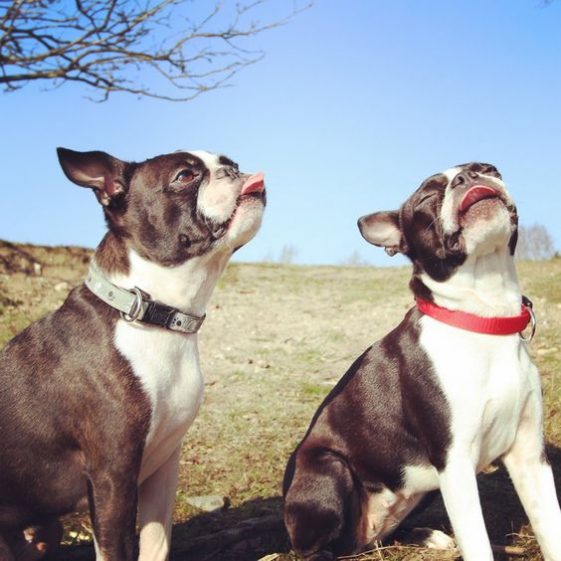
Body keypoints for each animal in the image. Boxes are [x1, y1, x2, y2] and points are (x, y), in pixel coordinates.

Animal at [0, 148, 266, 560]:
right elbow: (117, 547)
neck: (156, 317)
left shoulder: (163, 467)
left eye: (230, 161)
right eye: (185, 175)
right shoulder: (113, 475)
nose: (234, 170)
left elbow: (156, 544)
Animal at [284, 162, 560, 560]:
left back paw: (428, 536)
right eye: (428, 197)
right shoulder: (455, 462)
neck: (483, 318)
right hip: (330, 467)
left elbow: (551, 527)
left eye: (491, 169)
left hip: (422, 485)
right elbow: (478, 542)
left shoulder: (529, 457)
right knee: (319, 549)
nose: (469, 177)